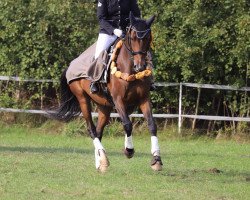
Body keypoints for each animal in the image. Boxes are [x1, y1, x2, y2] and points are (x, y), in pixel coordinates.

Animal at [51, 12, 163, 172]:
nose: (140, 67)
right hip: (83, 99)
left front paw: (156, 160)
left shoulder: (143, 99)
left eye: (148, 38)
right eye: (133, 37)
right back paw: (103, 159)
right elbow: (127, 124)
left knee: (98, 132)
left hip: (104, 106)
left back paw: (101, 162)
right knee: (92, 130)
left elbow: (152, 125)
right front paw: (129, 150)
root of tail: (71, 64)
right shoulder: (118, 100)